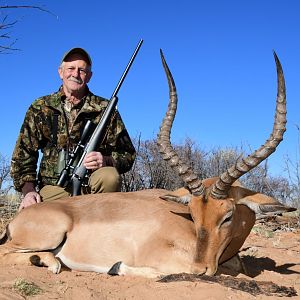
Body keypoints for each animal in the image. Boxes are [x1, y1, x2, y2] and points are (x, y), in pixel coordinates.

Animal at [0, 51, 296, 276]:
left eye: (228, 215)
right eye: (193, 214)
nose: (200, 268)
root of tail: (19, 218)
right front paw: (117, 267)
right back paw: (51, 263)